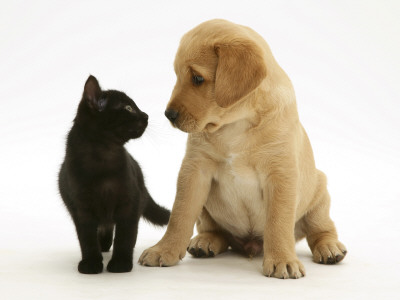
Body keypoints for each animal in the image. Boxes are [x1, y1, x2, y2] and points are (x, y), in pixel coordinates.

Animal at [58, 75, 170, 274]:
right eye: (128, 108)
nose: (146, 115)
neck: (103, 157)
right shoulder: (82, 208)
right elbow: (86, 238)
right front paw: (91, 263)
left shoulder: (130, 203)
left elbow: (125, 237)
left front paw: (120, 263)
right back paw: (102, 246)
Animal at [139, 18, 346, 278]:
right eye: (177, 76)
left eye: (197, 79)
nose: (169, 115)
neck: (236, 125)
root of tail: (249, 244)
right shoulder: (195, 170)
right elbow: (180, 214)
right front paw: (163, 249)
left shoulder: (281, 174)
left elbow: (278, 223)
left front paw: (282, 259)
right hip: (207, 211)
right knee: (215, 231)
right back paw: (205, 241)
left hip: (320, 192)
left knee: (321, 228)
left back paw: (329, 247)